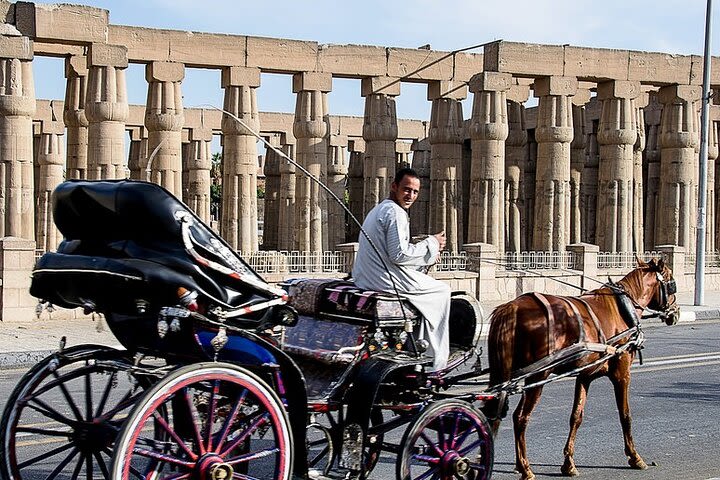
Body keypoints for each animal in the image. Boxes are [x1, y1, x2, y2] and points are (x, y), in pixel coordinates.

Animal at [486, 258, 676, 480]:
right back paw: (525, 468)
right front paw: (635, 457)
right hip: (538, 375)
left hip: (519, 375)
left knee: (506, 414)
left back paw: (517, 463)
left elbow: (576, 416)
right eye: (671, 282)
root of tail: (512, 307)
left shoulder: (585, 375)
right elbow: (625, 415)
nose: (675, 313)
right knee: (521, 418)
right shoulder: (622, 373)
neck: (623, 309)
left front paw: (568, 463)